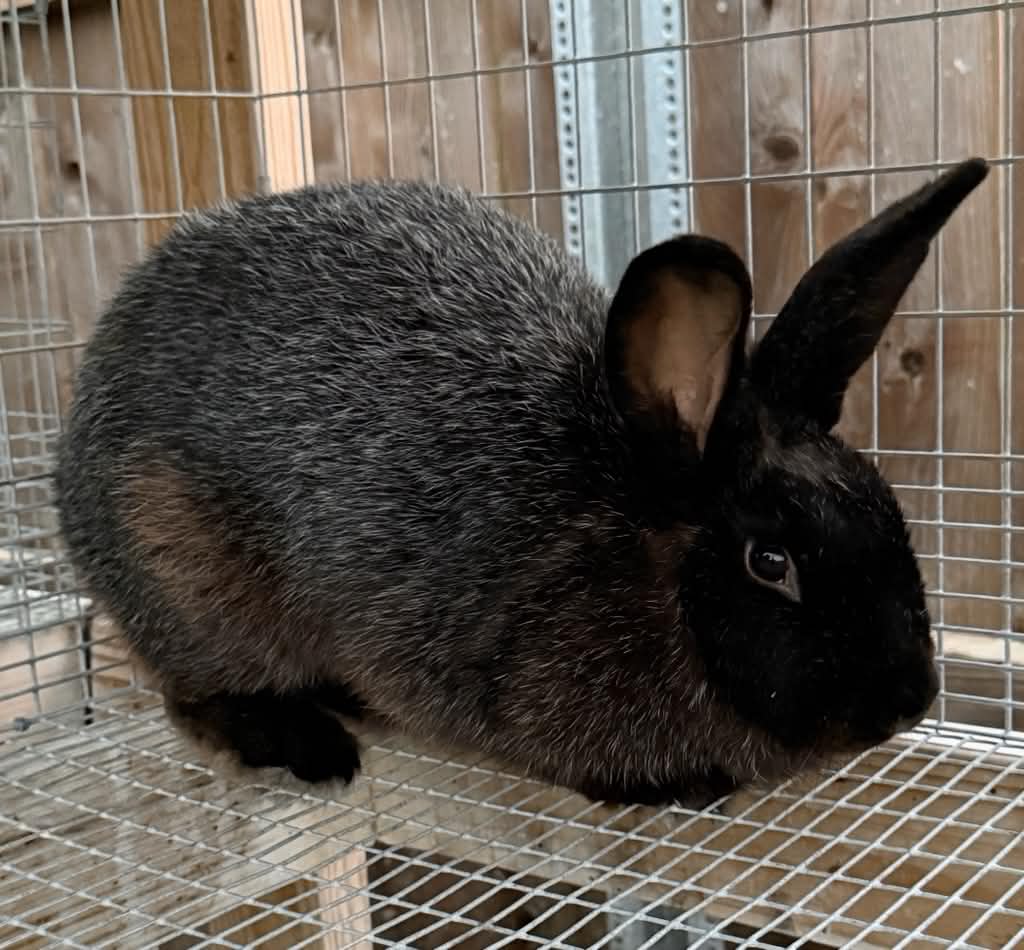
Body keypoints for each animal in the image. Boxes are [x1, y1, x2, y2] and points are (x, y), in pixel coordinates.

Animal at [54, 158, 988, 809]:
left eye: (889, 510)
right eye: (771, 562)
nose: (908, 702)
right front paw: (677, 786)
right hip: (188, 578)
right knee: (195, 695)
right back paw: (311, 744)